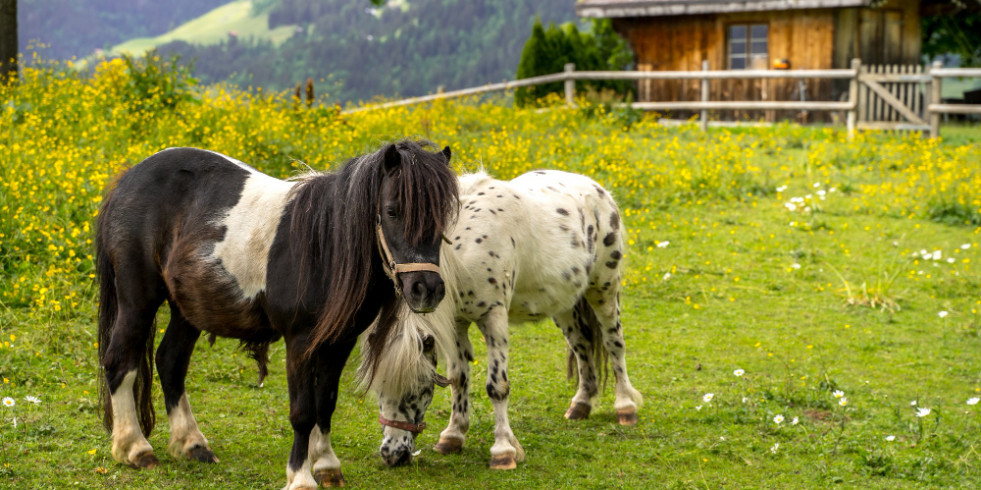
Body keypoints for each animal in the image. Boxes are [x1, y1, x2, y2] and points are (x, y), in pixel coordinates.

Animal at [94, 140, 456, 488]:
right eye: (392, 211)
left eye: (443, 215)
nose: (426, 289)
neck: (326, 246)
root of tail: (128, 179)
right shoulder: (300, 342)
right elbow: (303, 412)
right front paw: (301, 477)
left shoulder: (340, 342)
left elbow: (326, 403)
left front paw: (327, 466)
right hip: (138, 300)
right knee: (120, 361)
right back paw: (135, 448)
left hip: (189, 309)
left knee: (170, 362)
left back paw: (192, 444)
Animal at [362, 170, 644, 468]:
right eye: (379, 392)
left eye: (418, 388)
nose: (392, 454)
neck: (463, 247)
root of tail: (597, 188)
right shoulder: (457, 323)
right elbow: (458, 378)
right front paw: (453, 436)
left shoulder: (494, 319)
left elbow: (497, 386)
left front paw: (503, 451)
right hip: (564, 305)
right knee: (582, 345)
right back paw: (581, 404)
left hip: (603, 290)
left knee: (614, 343)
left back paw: (625, 407)